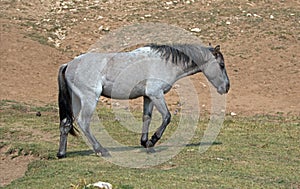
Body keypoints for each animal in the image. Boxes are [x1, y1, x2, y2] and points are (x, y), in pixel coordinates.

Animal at [56, 43, 230, 158]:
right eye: (221, 65)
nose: (227, 87)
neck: (164, 62)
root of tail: (68, 65)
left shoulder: (148, 97)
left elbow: (147, 117)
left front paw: (145, 143)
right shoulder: (156, 94)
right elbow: (167, 117)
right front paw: (152, 141)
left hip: (76, 100)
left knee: (66, 123)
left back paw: (61, 153)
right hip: (89, 99)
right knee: (83, 123)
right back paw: (101, 150)